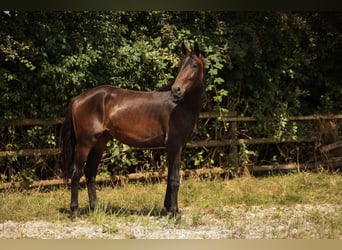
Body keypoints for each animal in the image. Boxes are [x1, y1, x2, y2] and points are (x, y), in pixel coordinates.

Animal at [60, 42, 206, 218]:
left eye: (194, 65)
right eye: (179, 65)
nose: (176, 90)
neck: (181, 105)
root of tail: (78, 99)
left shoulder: (178, 146)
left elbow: (170, 175)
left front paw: (169, 208)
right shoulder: (175, 145)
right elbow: (174, 179)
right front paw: (175, 213)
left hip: (100, 142)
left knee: (90, 172)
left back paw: (95, 207)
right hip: (85, 143)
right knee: (77, 172)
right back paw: (75, 211)